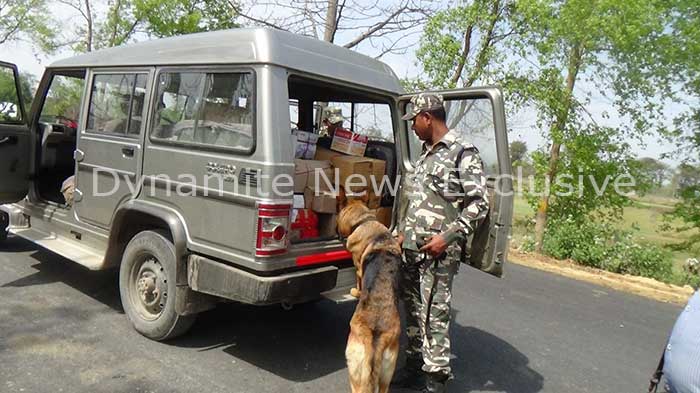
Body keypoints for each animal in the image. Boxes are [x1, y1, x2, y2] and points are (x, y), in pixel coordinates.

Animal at [338, 201, 402, 390]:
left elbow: (358, 279)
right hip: (386, 374)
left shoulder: (359, 267)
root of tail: (374, 337)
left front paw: (355, 292)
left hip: (354, 370)